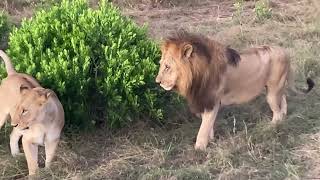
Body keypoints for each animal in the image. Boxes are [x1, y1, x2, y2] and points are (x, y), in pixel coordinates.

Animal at [156, 30, 314, 150]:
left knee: (277, 110)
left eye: (167, 67)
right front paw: (211, 139)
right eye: (160, 64)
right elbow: (208, 125)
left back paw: (273, 126)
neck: (196, 76)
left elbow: (203, 128)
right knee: (283, 98)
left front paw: (199, 148)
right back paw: (284, 114)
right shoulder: (204, 100)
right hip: (275, 87)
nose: (157, 81)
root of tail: (285, 52)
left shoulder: (212, 102)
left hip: (273, 91)